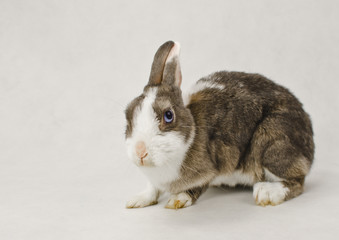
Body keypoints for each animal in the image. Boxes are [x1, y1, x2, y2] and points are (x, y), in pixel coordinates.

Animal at [123, 40, 314, 209]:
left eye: (168, 116)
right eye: (127, 114)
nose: (140, 151)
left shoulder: (213, 166)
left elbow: (197, 186)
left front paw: (178, 199)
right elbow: (152, 188)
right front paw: (137, 200)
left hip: (273, 142)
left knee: (298, 181)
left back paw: (267, 193)